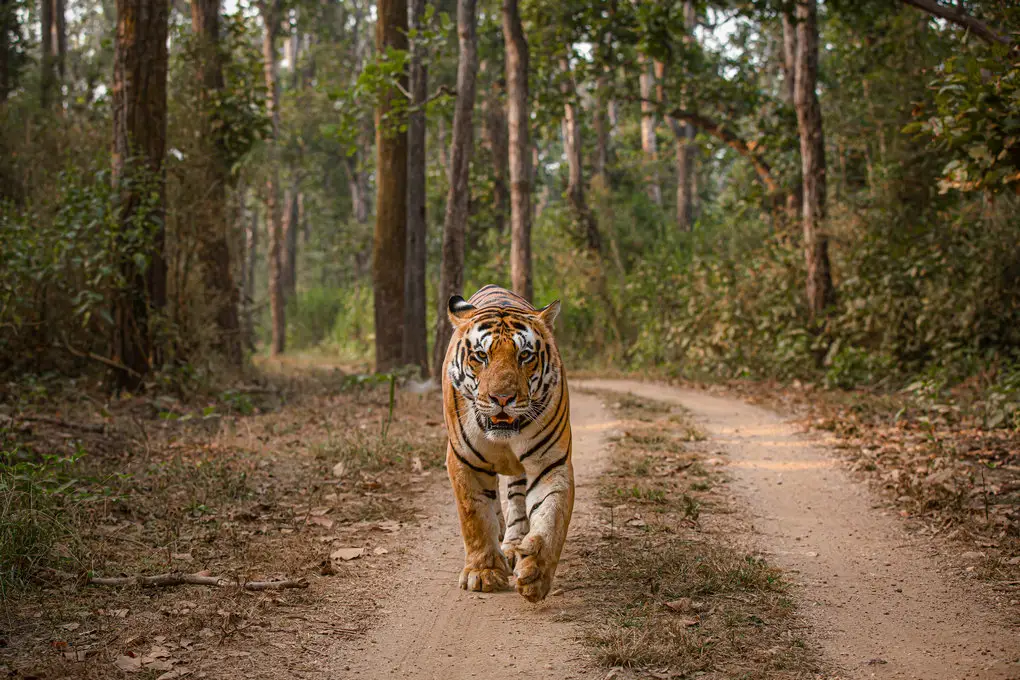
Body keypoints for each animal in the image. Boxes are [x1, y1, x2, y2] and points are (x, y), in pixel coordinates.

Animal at [440, 285, 575, 603]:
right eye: (481, 356)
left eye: (524, 355)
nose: (502, 398)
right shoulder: (464, 462)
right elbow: (475, 516)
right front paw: (483, 572)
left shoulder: (551, 463)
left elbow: (551, 516)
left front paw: (536, 571)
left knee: (515, 498)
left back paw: (514, 545)